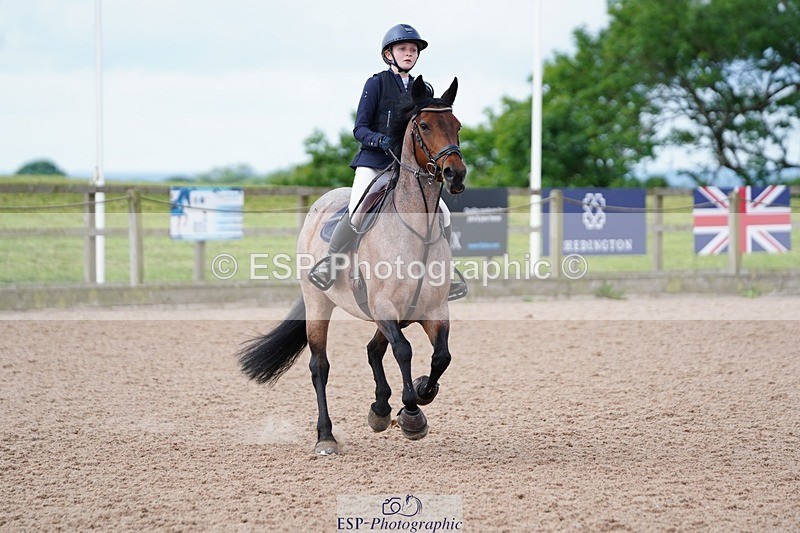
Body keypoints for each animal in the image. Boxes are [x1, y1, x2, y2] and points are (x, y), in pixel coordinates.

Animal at [238, 75, 467, 455]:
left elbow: (442, 357)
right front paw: (412, 414)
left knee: (374, 350)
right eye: (424, 125)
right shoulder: (384, 306)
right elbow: (404, 351)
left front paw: (421, 392)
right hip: (319, 304)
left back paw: (380, 409)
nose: (456, 174)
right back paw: (327, 437)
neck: (416, 231)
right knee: (320, 365)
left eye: (457, 125)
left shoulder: (433, 310)